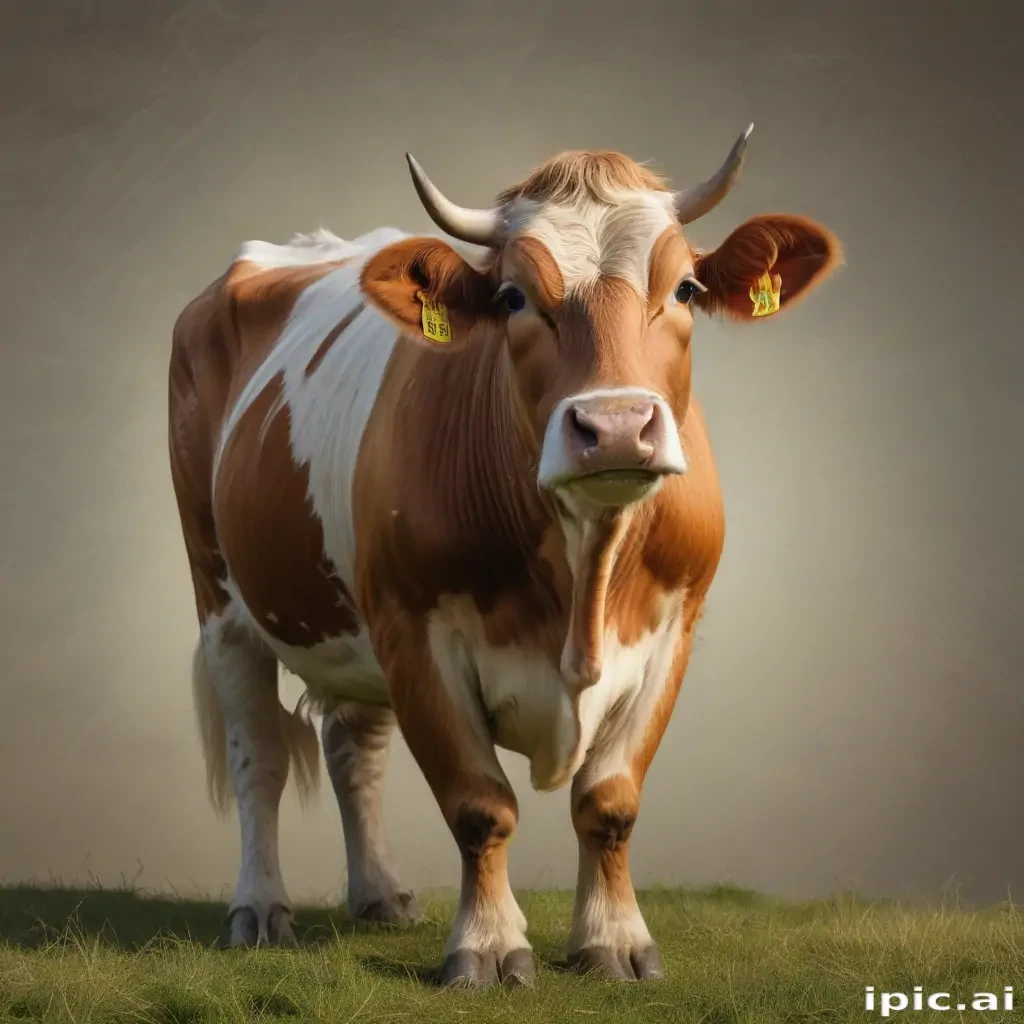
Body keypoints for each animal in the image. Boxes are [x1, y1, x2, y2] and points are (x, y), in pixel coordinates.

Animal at [168, 125, 841, 987]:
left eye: (687, 288)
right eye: (515, 298)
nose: (615, 427)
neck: (585, 581)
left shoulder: (673, 631)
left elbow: (610, 802)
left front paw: (614, 941)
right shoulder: (416, 634)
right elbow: (479, 806)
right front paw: (487, 947)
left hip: (349, 623)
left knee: (354, 750)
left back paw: (380, 894)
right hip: (220, 597)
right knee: (259, 756)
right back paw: (259, 910)